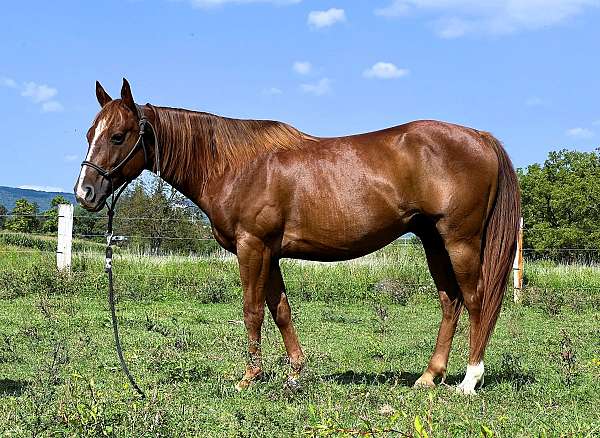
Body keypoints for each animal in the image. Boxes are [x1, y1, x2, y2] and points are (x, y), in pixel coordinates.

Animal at [76, 78, 520, 394]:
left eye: (118, 136)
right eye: (89, 134)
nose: (85, 193)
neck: (235, 166)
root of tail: (480, 137)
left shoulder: (252, 247)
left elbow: (253, 310)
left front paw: (250, 376)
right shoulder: (270, 252)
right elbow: (281, 310)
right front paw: (294, 373)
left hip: (460, 241)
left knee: (477, 301)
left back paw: (469, 381)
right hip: (432, 241)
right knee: (450, 301)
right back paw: (430, 376)